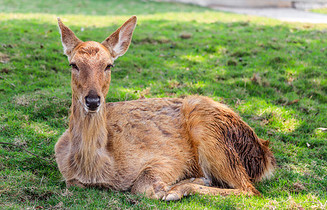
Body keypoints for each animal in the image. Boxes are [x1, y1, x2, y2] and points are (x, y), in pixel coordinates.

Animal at [55, 15, 276, 200]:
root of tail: (264, 154)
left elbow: (143, 186)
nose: (93, 100)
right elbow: (74, 183)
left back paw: (184, 187)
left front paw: (178, 185)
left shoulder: (170, 158)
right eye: (73, 64)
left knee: (249, 189)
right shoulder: (69, 175)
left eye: (109, 65)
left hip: (212, 133)